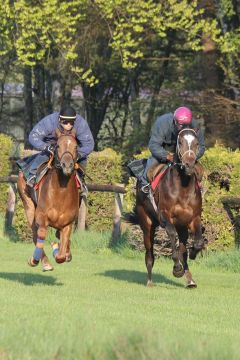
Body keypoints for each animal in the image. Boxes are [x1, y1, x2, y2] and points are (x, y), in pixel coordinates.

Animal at [18, 128, 79, 272]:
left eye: (75, 146)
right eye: (57, 146)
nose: (67, 165)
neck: (61, 194)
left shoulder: (67, 224)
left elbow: (61, 255)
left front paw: (59, 249)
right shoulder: (41, 217)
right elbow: (40, 234)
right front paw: (35, 260)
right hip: (28, 205)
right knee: (35, 233)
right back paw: (44, 262)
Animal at [136, 128, 203, 288]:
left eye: (197, 143)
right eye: (181, 142)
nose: (189, 164)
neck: (183, 187)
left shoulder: (193, 218)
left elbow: (197, 242)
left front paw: (193, 253)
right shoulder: (165, 216)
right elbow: (172, 236)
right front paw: (177, 268)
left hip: (182, 226)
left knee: (183, 248)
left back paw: (190, 279)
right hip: (147, 223)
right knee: (149, 252)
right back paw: (149, 281)